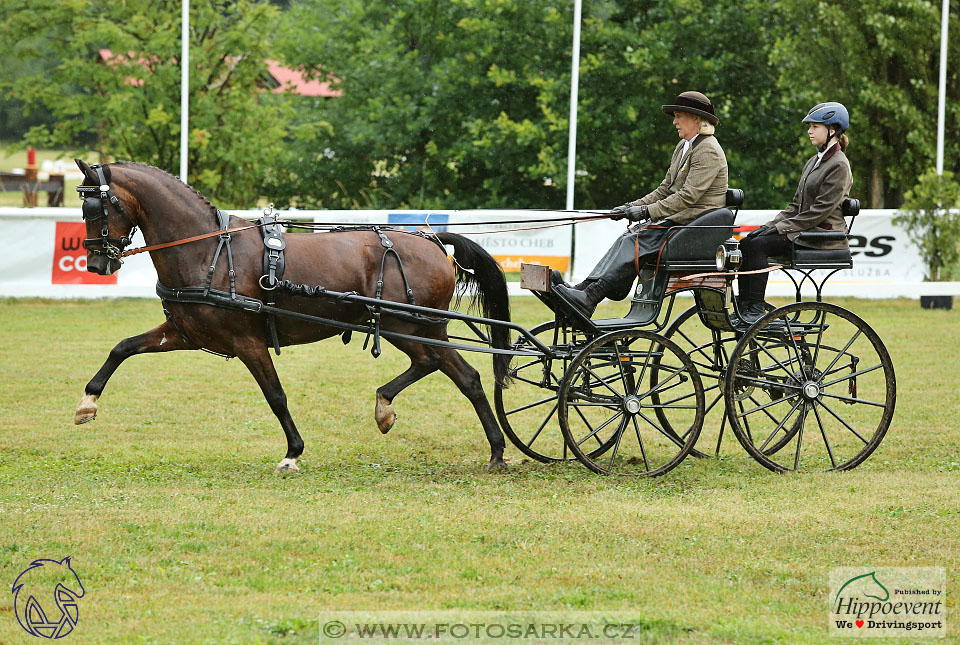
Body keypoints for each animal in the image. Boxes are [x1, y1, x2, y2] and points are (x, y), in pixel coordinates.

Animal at [70, 160, 512, 472]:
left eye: (95, 206)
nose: (96, 263)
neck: (208, 250)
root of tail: (433, 240)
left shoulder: (248, 342)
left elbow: (276, 395)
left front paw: (293, 453)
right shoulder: (185, 333)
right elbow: (123, 348)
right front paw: (88, 401)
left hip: (411, 324)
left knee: (443, 367)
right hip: (418, 326)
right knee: (460, 375)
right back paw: (484, 445)